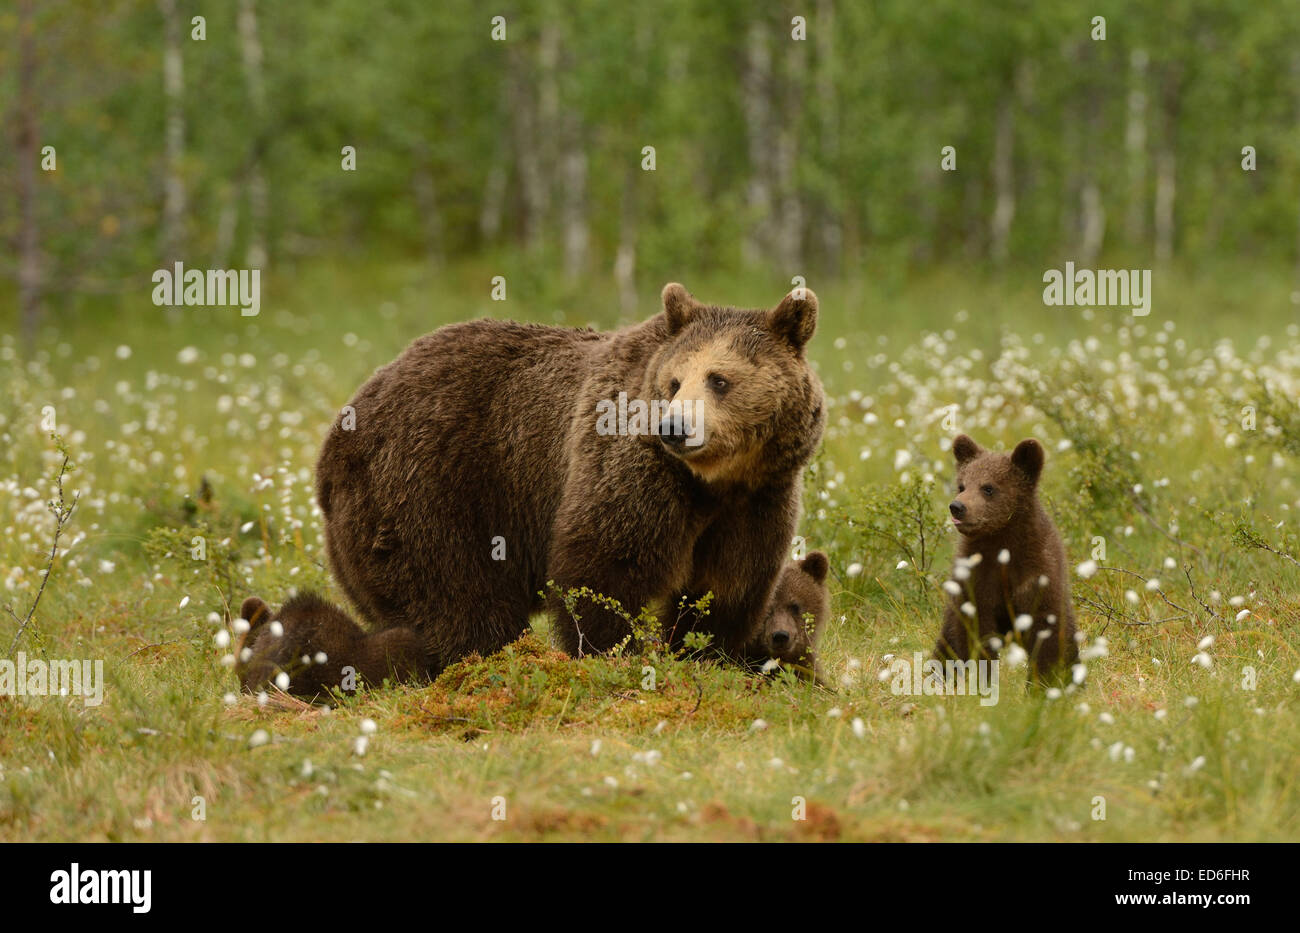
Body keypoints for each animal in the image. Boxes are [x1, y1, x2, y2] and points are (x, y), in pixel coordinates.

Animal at [932, 434, 1078, 679]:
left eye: (988, 488)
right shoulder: (977, 580)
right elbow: (975, 633)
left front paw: (1044, 680)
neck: (1001, 543)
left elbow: (1047, 632)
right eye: (962, 485)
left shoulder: (1036, 573)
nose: (957, 506)